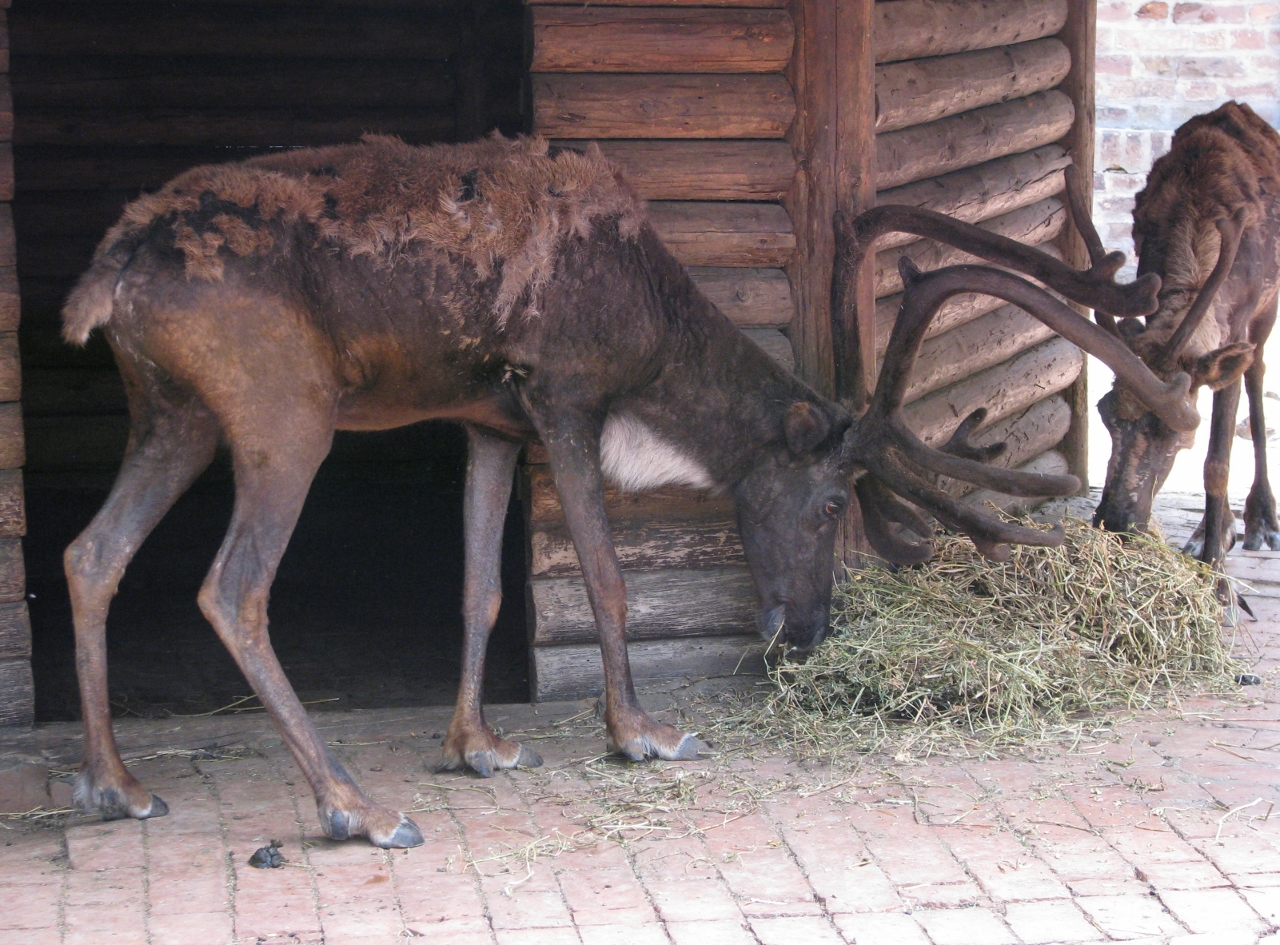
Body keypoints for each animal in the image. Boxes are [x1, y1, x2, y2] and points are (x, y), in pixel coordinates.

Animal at [60, 133, 1194, 848]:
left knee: (90, 553)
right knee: (232, 587)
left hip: (172, 413)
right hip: (281, 412)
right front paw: (639, 731)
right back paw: (354, 806)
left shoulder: (487, 420)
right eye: (833, 503)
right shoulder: (563, 395)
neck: (653, 341)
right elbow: (606, 577)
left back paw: (118, 784)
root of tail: (104, 278)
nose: (809, 630)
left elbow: (481, 588)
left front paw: (477, 744)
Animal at [1091, 101, 1280, 571]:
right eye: (1105, 412)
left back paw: (1261, 520)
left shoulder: (1243, 318)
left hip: (1268, 311)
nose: (1115, 519)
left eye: (1175, 433)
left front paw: (1218, 573)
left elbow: (1217, 464)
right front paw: (1216, 540)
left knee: (1258, 371)